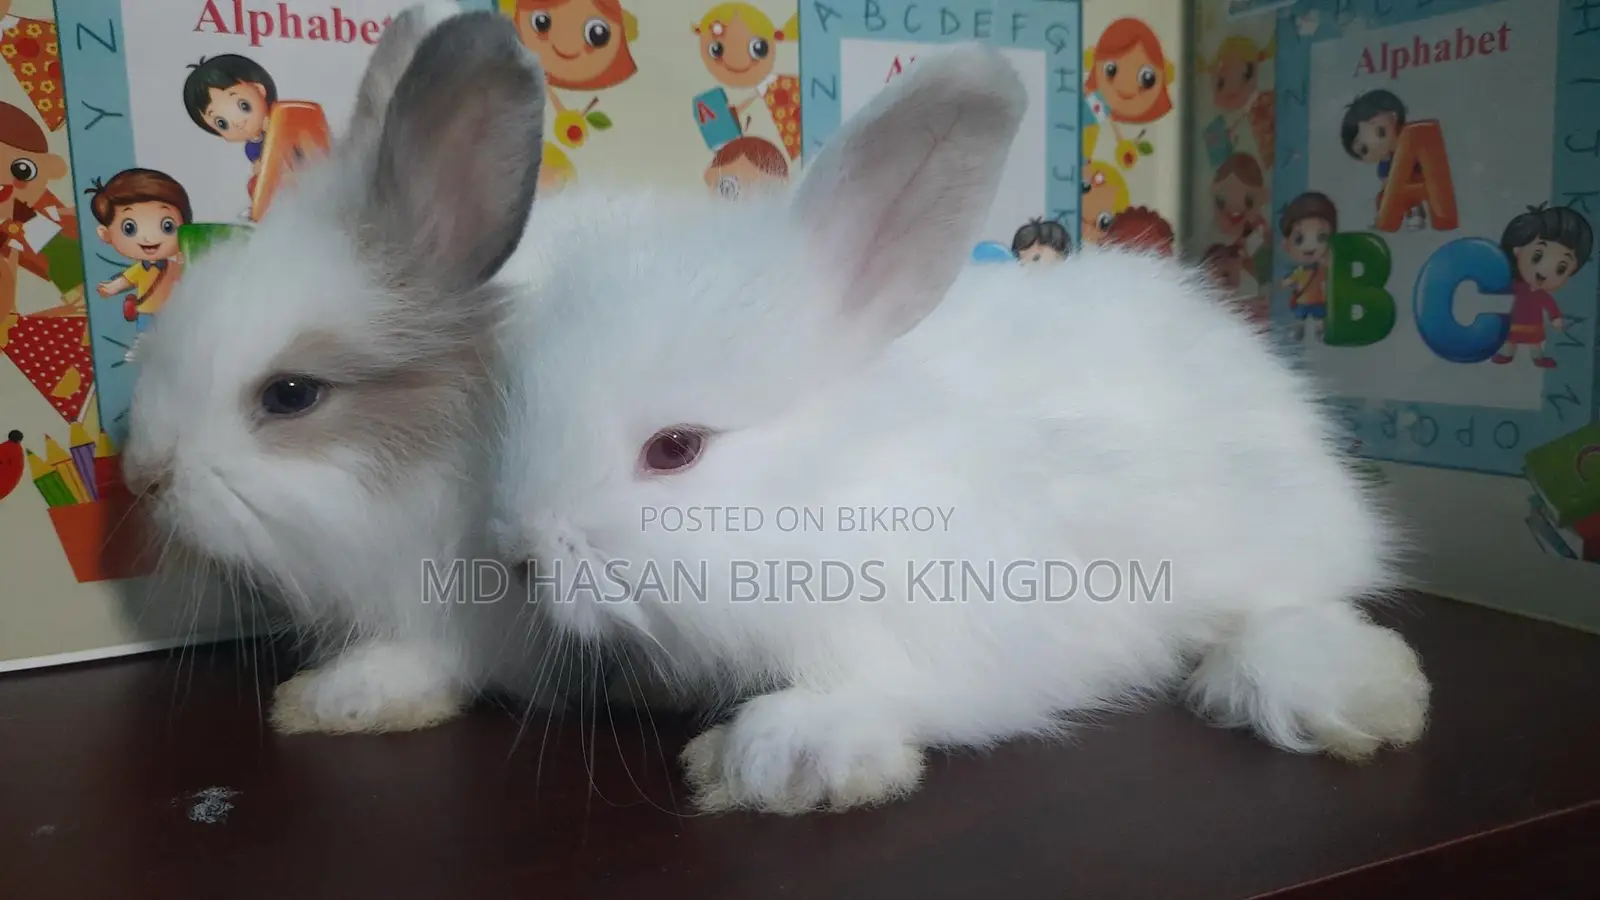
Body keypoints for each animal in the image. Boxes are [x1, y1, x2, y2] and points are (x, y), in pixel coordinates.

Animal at [491, 44, 1431, 814]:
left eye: (675, 449)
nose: (523, 557)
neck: (842, 480)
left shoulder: (967, 623)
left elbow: (895, 689)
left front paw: (779, 761)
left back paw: (1357, 697)